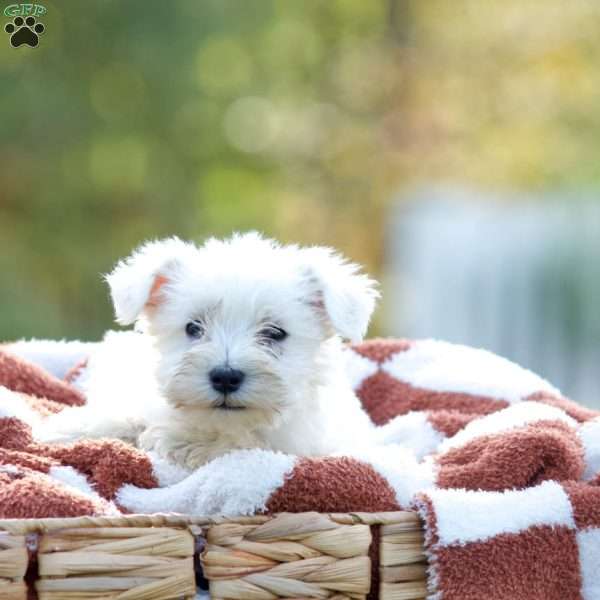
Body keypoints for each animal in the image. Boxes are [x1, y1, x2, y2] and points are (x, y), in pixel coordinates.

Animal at [41, 232, 380, 472]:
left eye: (274, 333)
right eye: (193, 328)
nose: (226, 377)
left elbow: (244, 444)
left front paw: (185, 442)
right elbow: (127, 415)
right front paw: (67, 430)